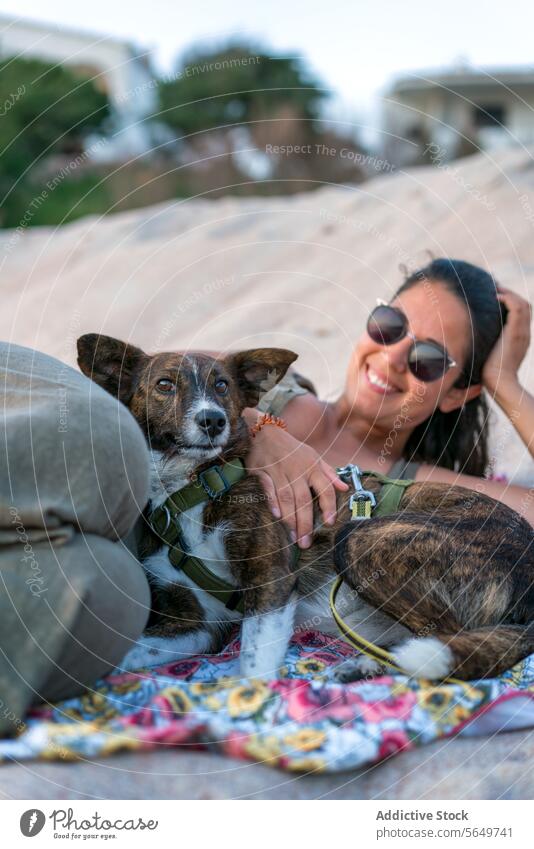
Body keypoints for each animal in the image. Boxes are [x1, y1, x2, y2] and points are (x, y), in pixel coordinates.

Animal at [76, 334, 534, 680]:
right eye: (165, 385)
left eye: (222, 386)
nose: (212, 421)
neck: (192, 485)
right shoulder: (199, 624)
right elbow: (128, 653)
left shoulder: (270, 580)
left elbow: (254, 662)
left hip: (363, 539)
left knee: (457, 644)